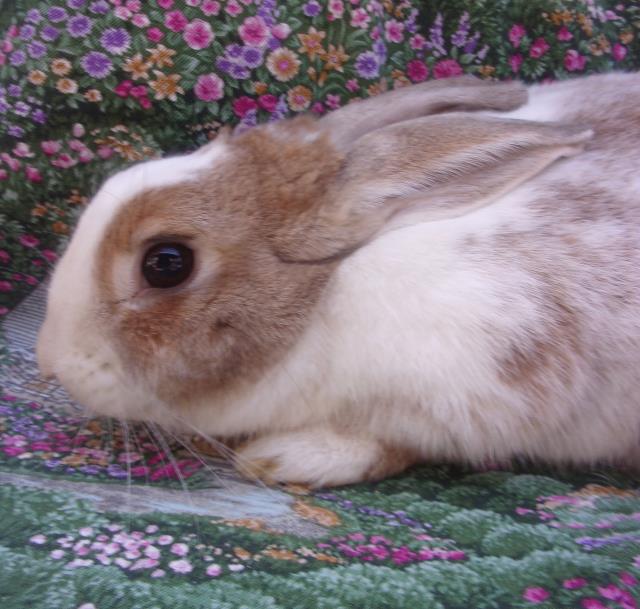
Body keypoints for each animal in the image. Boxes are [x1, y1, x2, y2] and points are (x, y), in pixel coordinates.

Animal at [38, 72, 640, 490]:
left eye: (166, 263)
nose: (50, 363)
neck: (326, 296)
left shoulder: (482, 388)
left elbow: (392, 444)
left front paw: (286, 457)